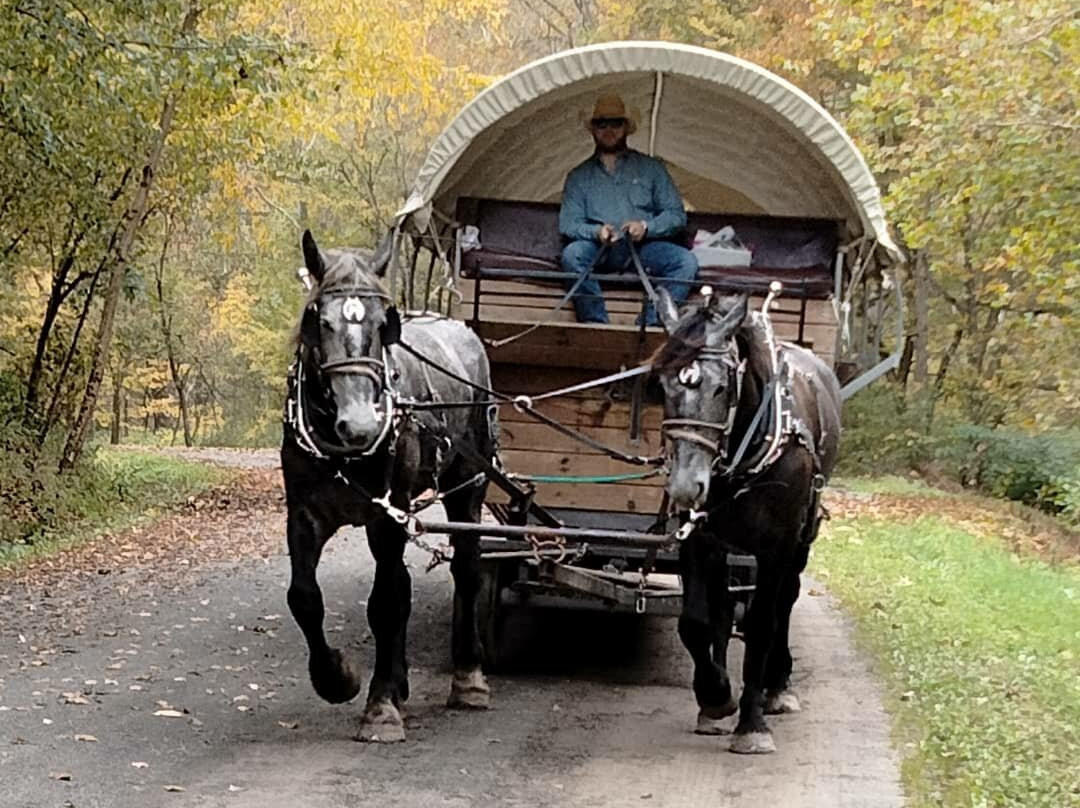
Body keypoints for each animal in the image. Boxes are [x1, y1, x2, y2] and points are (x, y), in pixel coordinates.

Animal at [278, 230, 496, 743]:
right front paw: (337, 678)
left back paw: (468, 677)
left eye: (383, 324)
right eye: (319, 321)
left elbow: (384, 604)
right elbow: (305, 598)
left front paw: (379, 706)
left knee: (467, 571)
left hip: (469, 483)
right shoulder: (303, 513)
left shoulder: (386, 514)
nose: (360, 424)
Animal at [648, 287, 842, 756]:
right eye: (662, 386)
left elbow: (760, 625)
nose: (686, 487)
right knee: (722, 608)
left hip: (801, 540)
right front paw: (716, 697)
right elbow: (697, 622)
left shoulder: (777, 548)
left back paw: (778, 686)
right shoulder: (701, 539)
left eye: (721, 387)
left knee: (785, 600)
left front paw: (752, 724)